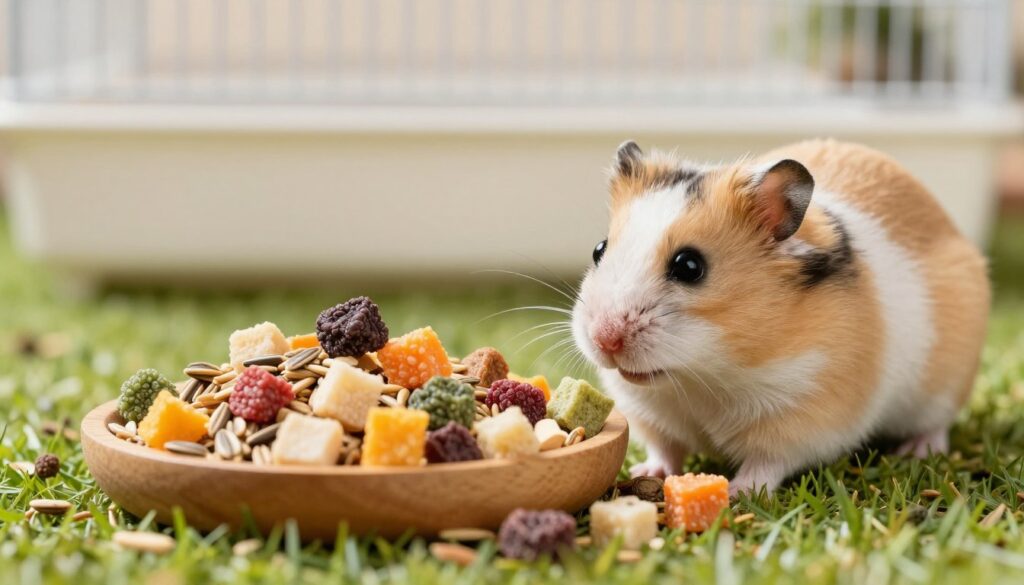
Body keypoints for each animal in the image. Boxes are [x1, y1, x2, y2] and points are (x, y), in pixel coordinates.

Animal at [571, 139, 990, 495]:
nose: (605, 339)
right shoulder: (651, 413)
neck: (701, 377)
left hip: (944, 389)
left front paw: (738, 493)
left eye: (689, 266)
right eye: (599, 249)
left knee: (937, 424)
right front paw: (645, 473)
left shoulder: (803, 414)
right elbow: (665, 449)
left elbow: (766, 463)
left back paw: (917, 450)